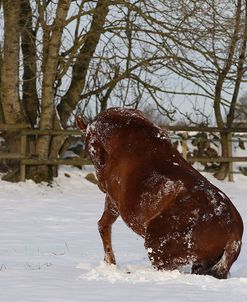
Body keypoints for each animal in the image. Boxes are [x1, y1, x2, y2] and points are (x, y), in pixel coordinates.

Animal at [77, 106, 243, 278]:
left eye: (89, 147)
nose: (100, 183)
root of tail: (233, 233)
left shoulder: (113, 200)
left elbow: (103, 225)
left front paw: (110, 262)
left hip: (158, 251)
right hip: (200, 264)